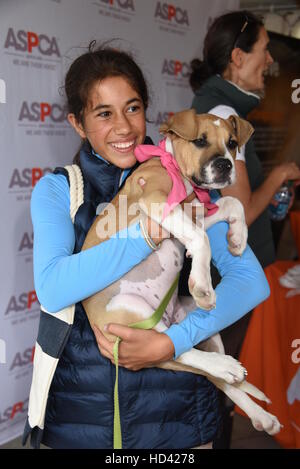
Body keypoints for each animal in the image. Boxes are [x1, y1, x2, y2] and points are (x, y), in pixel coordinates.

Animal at [80, 110, 282, 436]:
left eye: (232, 143)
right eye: (200, 141)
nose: (225, 165)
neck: (176, 170)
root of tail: (167, 316)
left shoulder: (195, 210)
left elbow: (231, 202)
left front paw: (238, 238)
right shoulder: (157, 202)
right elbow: (200, 237)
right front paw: (201, 283)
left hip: (202, 326)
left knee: (200, 361)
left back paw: (257, 411)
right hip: (129, 309)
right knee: (172, 347)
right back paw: (226, 366)